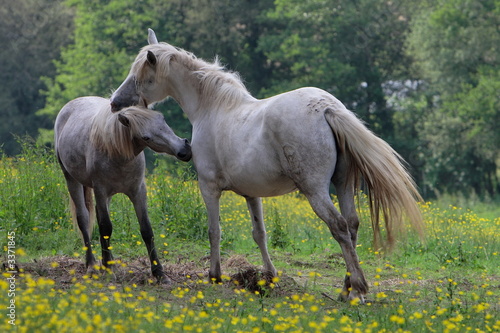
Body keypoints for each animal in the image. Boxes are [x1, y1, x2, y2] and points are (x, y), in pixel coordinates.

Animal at [54, 96, 191, 280]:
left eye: (162, 119)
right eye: (146, 137)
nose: (184, 150)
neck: (116, 150)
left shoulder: (138, 191)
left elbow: (146, 230)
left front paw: (159, 273)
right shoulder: (100, 190)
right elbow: (106, 227)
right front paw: (107, 268)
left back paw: (109, 261)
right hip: (72, 180)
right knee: (83, 219)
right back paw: (92, 265)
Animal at [111, 29, 424, 300]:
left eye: (139, 75)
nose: (115, 103)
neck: (214, 107)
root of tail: (326, 107)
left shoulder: (208, 187)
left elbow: (214, 231)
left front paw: (215, 276)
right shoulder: (251, 194)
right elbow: (259, 233)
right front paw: (270, 276)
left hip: (316, 191)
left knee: (339, 227)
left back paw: (357, 288)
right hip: (343, 184)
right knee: (352, 225)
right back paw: (346, 289)